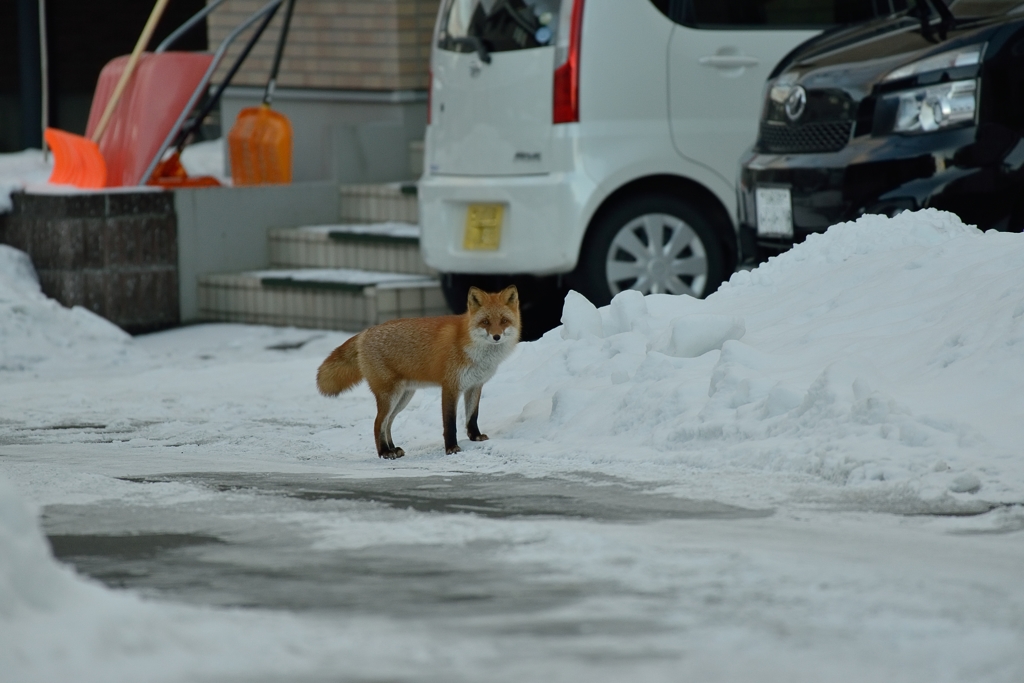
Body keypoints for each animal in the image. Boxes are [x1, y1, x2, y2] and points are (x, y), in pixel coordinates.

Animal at [315, 286, 520, 456]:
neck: (474, 349)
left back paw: (393, 448)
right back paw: (384, 452)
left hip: (403, 397)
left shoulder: (475, 385)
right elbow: (450, 423)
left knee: (388, 423)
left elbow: (472, 416)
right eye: (485, 321)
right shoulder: (450, 387)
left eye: (503, 321)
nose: (496, 336)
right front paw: (451, 448)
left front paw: (475, 437)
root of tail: (366, 332)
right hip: (390, 395)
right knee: (377, 423)